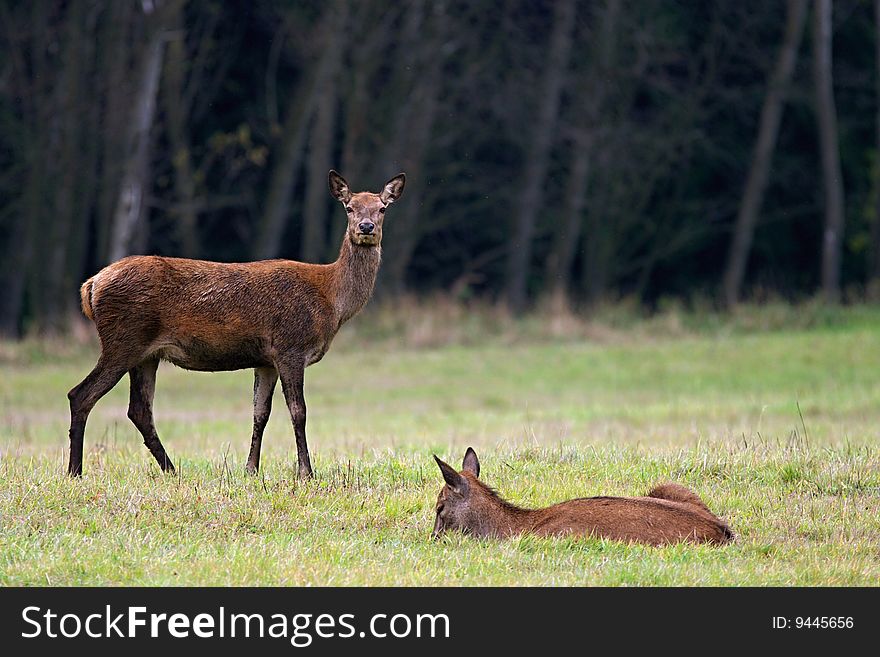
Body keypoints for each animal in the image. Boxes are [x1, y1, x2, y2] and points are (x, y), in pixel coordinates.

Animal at [66, 169, 406, 476]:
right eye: (349, 207)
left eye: (382, 208)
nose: (366, 227)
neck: (332, 300)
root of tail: (91, 285)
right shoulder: (290, 347)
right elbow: (299, 412)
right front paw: (306, 472)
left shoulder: (266, 360)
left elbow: (260, 413)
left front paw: (251, 469)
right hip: (123, 340)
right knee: (81, 395)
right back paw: (75, 471)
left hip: (146, 354)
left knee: (139, 410)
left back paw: (171, 470)